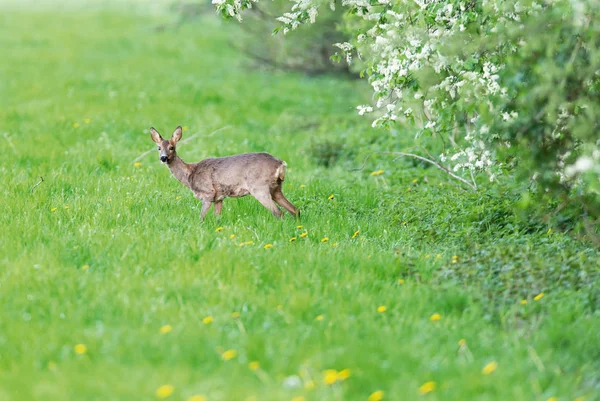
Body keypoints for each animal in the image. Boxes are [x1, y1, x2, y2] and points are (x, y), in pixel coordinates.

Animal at [150, 125, 300, 219]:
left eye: (172, 147)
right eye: (158, 148)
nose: (163, 158)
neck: (190, 175)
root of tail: (280, 164)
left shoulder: (208, 193)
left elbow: (201, 217)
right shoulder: (219, 198)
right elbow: (218, 218)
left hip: (259, 187)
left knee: (279, 213)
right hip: (276, 188)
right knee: (295, 210)